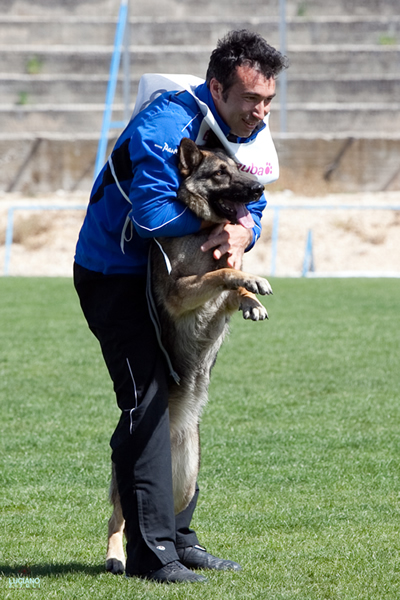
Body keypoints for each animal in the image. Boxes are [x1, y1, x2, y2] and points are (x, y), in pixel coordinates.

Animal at [105, 138, 272, 576]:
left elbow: (230, 281)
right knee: (117, 516)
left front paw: (252, 298)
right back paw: (116, 556)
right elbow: (221, 273)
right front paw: (251, 280)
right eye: (221, 173)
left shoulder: (218, 300)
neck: (201, 228)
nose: (259, 190)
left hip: (185, 478)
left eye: (241, 167)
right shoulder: (182, 291)